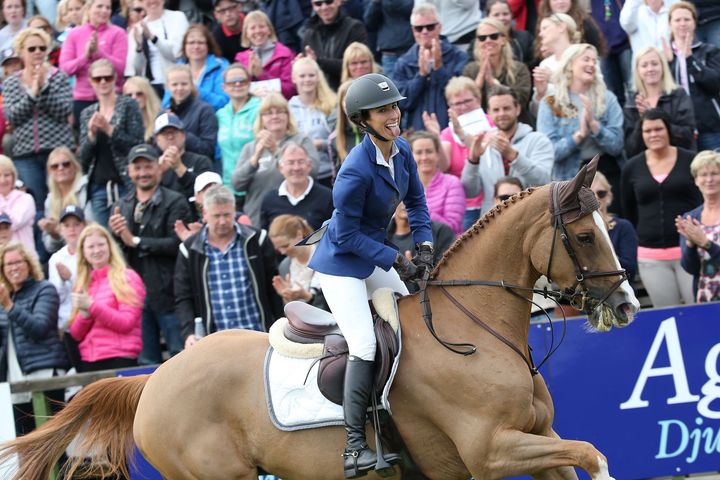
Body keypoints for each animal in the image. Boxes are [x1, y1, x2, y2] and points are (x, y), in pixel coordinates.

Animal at [0, 157, 639, 480]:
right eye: (585, 235)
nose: (628, 305)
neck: (473, 334)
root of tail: (152, 379)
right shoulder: (491, 451)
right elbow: (594, 454)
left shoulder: (539, 438)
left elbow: (578, 454)